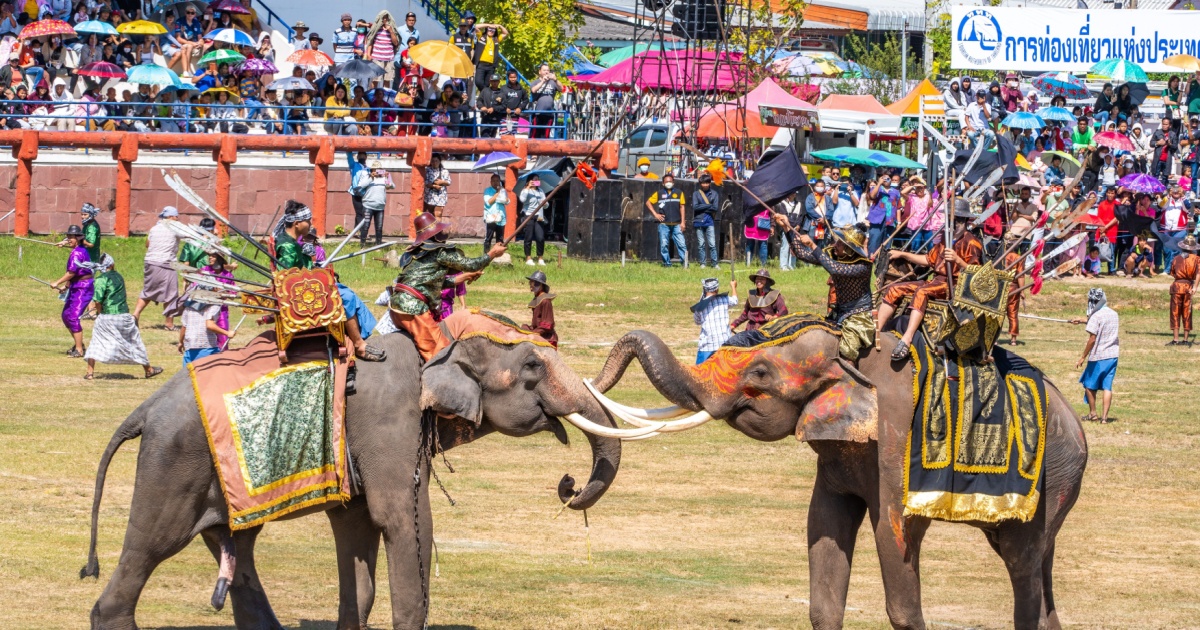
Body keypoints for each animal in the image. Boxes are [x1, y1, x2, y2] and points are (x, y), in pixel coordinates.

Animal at [81, 330, 622, 630]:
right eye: (532, 365)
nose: (570, 485)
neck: (437, 344)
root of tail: (142, 409)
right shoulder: (388, 422)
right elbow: (403, 520)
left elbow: (356, 530)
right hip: (172, 467)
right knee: (149, 550)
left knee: (238, 550)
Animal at [584, 326, 1087, 630]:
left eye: (759, 373)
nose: (591, 381)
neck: (849, 356)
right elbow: (824, 525)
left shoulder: (896, 437)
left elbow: (893, 534)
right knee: (1036, 559)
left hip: (1052, 477)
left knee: (1021, 558)